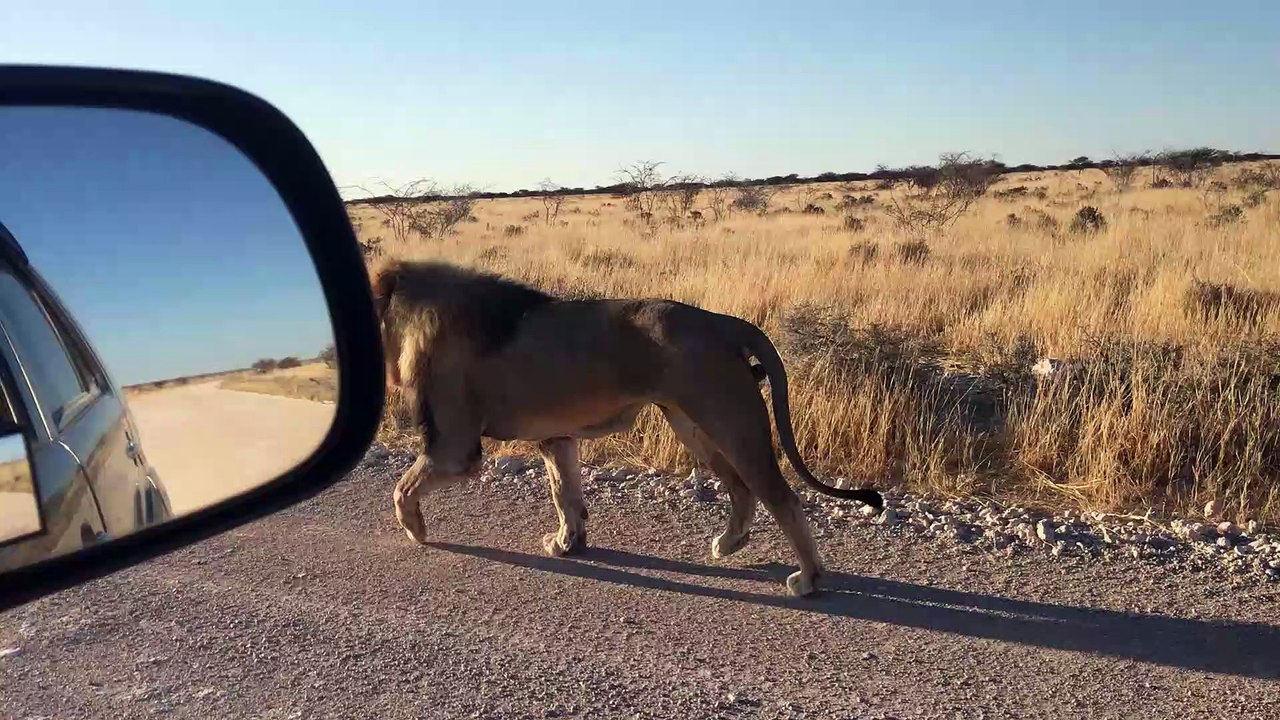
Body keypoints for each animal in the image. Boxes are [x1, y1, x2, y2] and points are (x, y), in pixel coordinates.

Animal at [371, 259, 883, 596]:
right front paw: (567, 543)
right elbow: (566, 494)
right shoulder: (556, 436)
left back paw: (808, 579)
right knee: (742, 490)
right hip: (693, 424)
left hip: (728, 419)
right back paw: (729, 543)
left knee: (782, 497)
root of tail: (720, 321)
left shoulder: (453, 446)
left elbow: (401, 487)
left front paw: (416, 529)